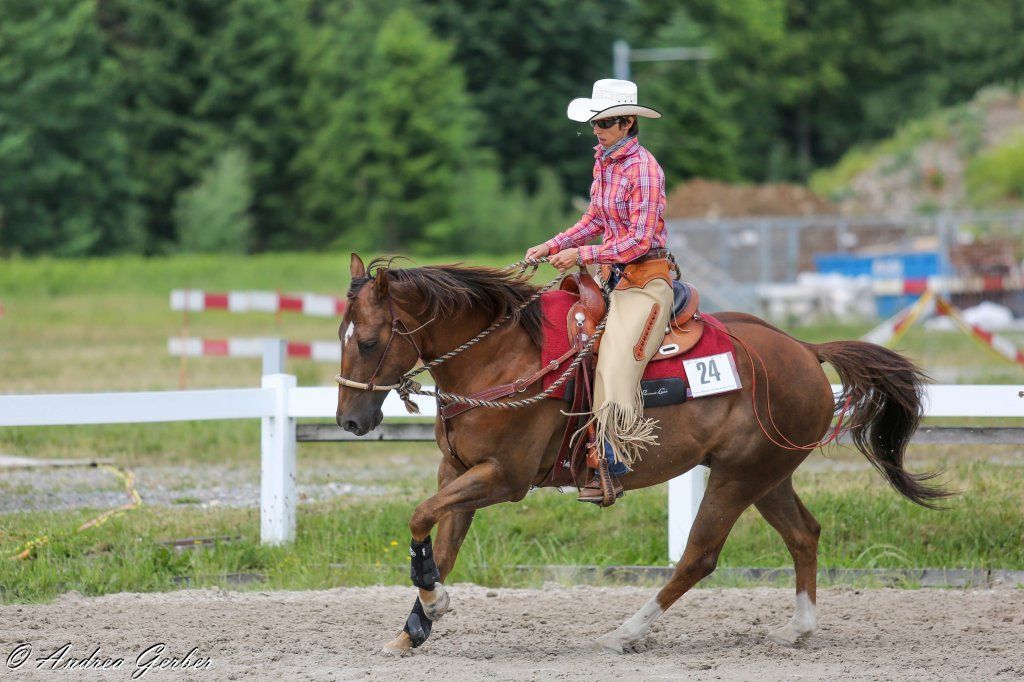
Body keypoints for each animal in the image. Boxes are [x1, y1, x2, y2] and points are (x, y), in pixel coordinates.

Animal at [335, 253, 948, 655]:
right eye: (342, 337)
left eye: (368, 341)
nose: (350, 420)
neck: (501, 357)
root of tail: (803, 348)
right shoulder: (458, 471)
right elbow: (441, 541)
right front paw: (416, 624)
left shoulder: (502, 478)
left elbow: (420, 517)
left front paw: (431, 608)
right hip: (767, 475)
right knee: (804, 534)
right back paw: (798, 628)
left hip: (738, 477)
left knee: (699, 556)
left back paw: (625, 633)